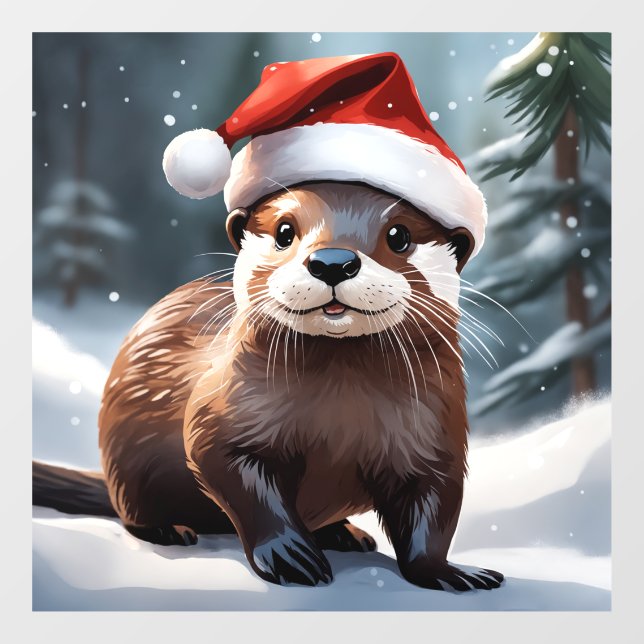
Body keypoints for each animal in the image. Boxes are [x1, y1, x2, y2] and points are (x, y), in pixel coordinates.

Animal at [33, 181, 503, 592]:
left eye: (399, 235)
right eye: (284, 231)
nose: (333, 261)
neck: (340, 417)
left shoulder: (437, 437)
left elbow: (435, 509)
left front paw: (452, 573)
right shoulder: (220, 413)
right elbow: (235, 476)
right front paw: (290, 557)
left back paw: (346, 533)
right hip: (126, 463)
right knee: (133, 511)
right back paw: (170, 529)